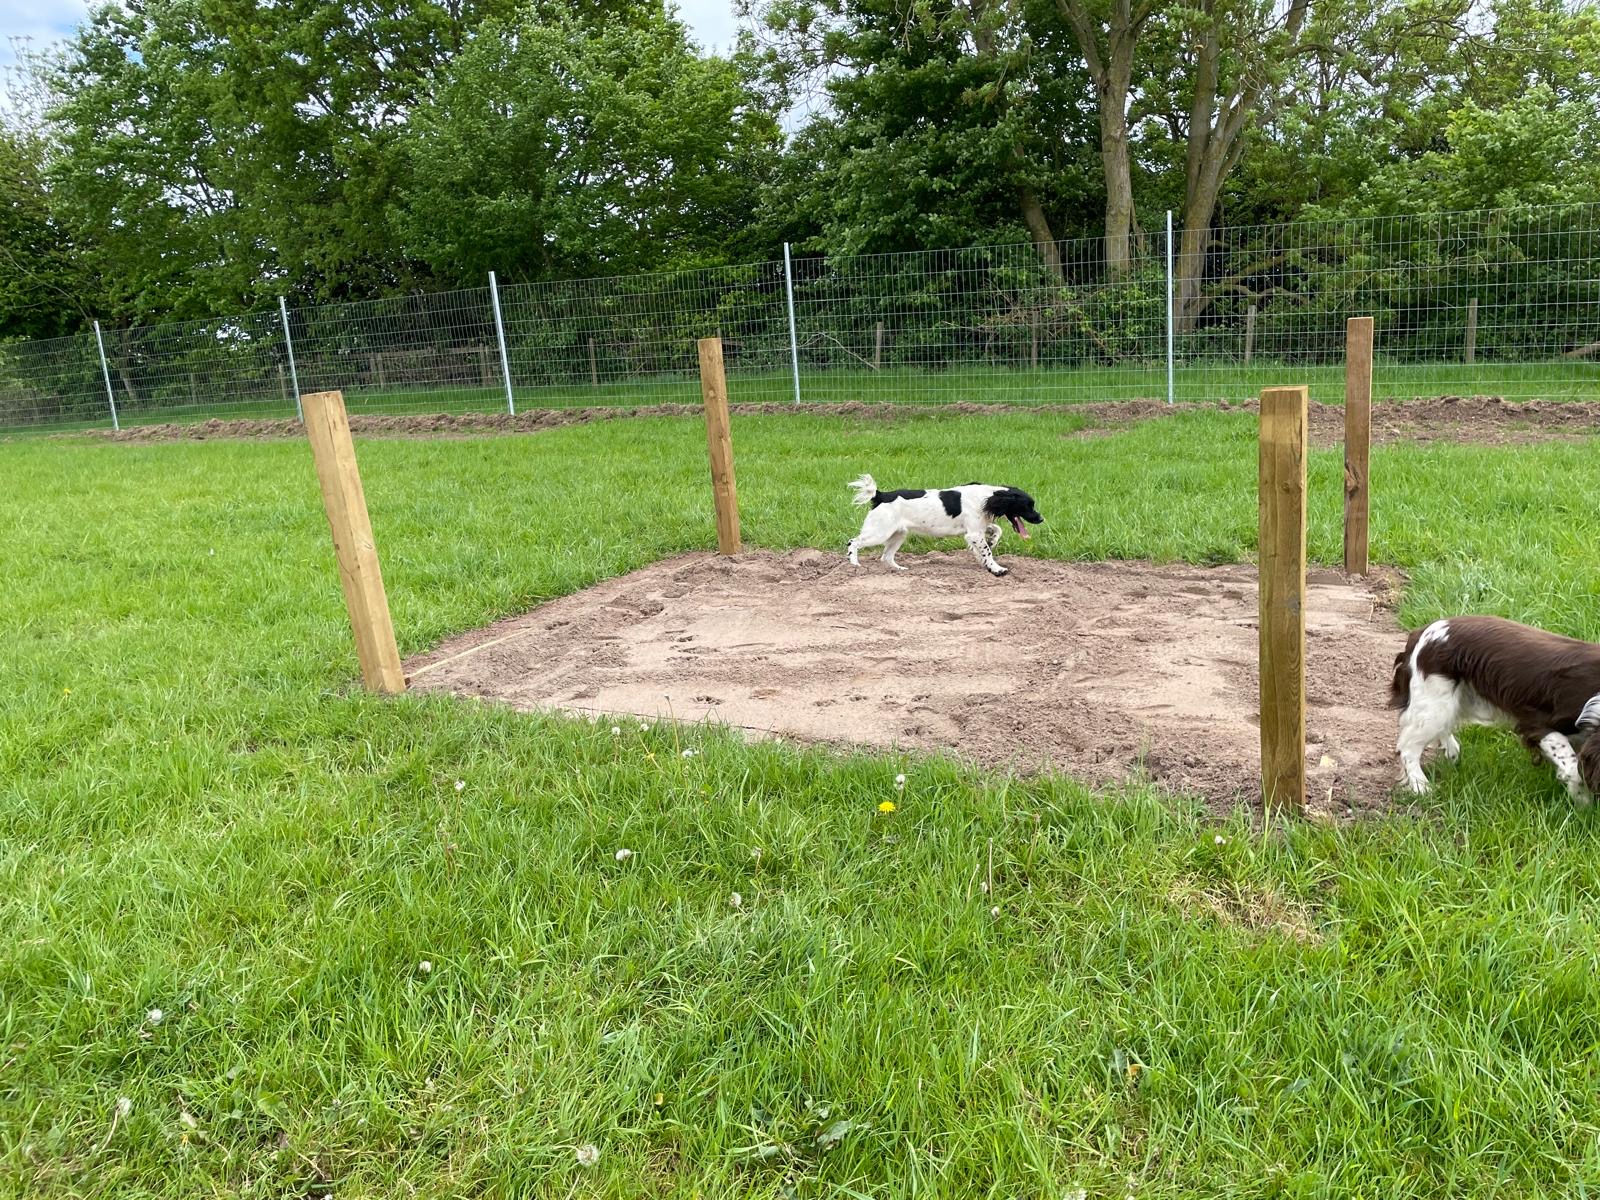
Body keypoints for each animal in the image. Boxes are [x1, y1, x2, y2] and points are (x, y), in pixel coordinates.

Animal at [846, 475, 1043, 576]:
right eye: (1028, 505)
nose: (1041, 519)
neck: (988, 496)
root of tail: (880, 495)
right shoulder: (974, 533)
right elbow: (987, 552)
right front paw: (996, 568)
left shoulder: (975, 529)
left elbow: (996, 531)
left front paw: (992, 542)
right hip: (880, 532)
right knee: (853, 542)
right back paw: (854, 564)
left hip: (898, 534)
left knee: (886, 556)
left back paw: (899, 569)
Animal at [1391, 615, 1600, 801]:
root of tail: (1421, 632)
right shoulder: (1539, 724)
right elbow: (1574, 768)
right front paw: (1582, 804)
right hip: (1435, 704)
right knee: (1408, 747)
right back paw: (1421, 787)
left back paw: (1452, 753)